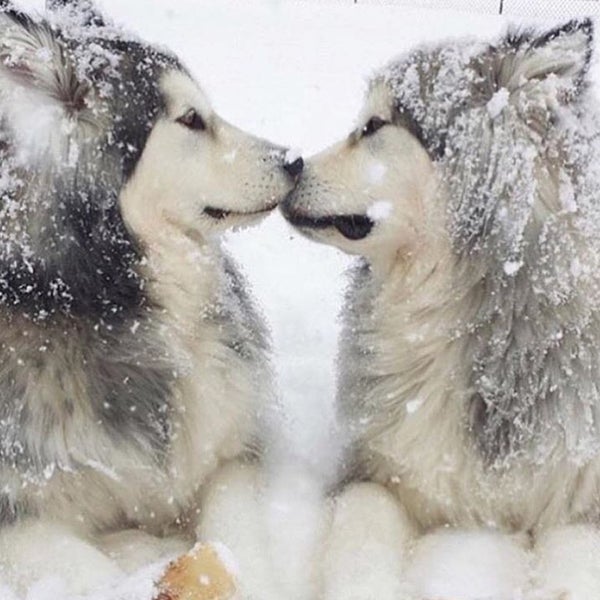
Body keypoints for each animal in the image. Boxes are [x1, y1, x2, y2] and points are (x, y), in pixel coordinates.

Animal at [0, 0, 302, 596]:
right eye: (190, 120)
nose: (295, 160)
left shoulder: (228, 452)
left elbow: (237, 528)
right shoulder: (18, 519)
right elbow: (87, 567)